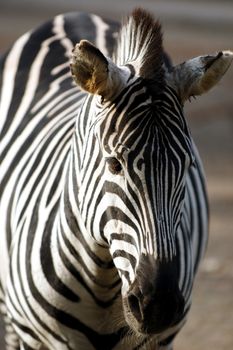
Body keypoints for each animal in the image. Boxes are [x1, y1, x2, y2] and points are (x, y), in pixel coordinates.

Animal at [0, 6, 233, 350]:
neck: (105, 280)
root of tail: (75, 14)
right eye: (114, 164)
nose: (159, 306)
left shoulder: (160, 340)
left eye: (188, 165)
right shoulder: (33, 336)